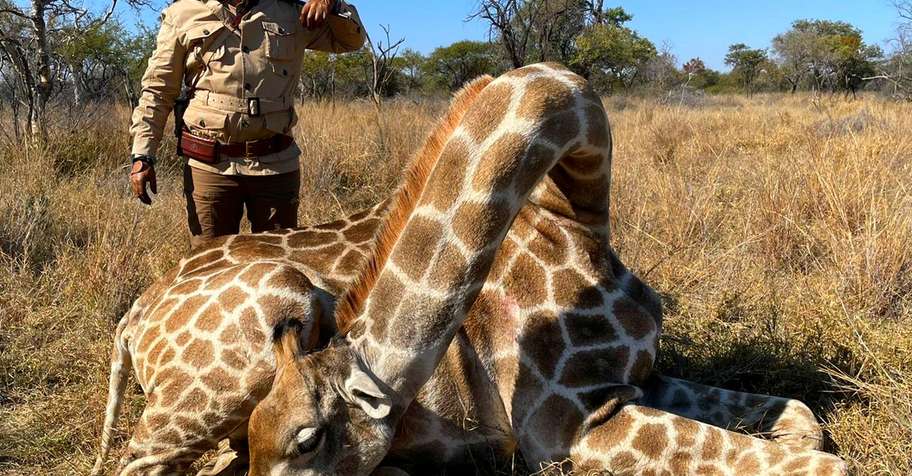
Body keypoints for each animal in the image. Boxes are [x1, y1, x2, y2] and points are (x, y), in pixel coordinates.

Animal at [92, 65, 841, 475]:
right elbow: (821, 463)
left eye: (306, 441)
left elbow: (804, 419)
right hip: (259, 325)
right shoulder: (567, 425)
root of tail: (134, 319)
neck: (579, 219)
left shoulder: (636, 381)